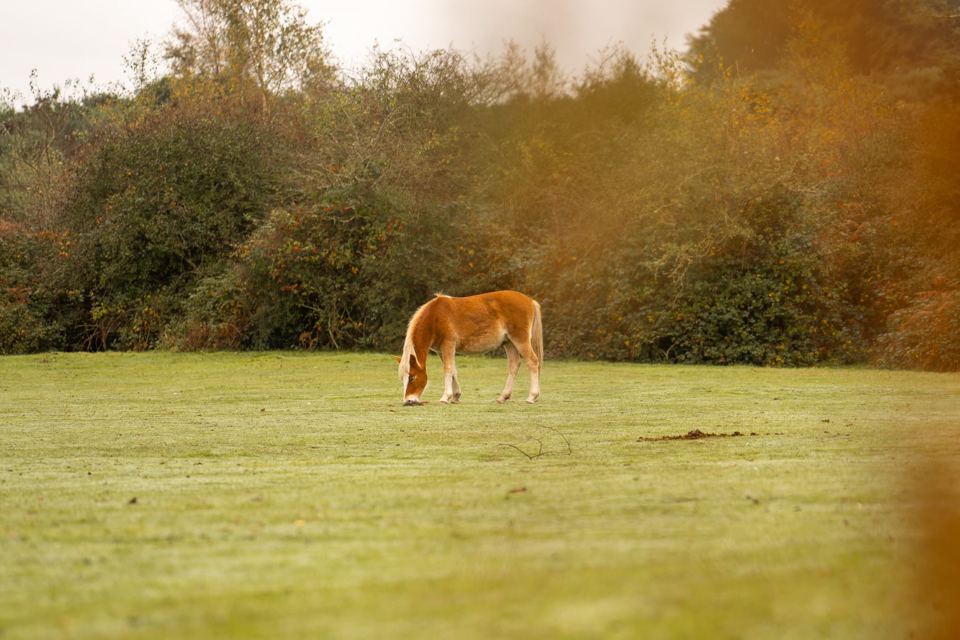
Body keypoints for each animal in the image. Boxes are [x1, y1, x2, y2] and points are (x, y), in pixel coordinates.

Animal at [396, 290, 542, 406]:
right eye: (402, 379)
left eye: (412, 377)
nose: (408, 401)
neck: (435, 316)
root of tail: (530, 301)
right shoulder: (442, 351)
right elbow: (453, 370)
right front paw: (455, 396)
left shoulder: (448, 345)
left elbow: (448, 369)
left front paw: (445, 397)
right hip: (509, 343)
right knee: (514, 365)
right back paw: (503, 397)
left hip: (520, 340)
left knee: (532, 362)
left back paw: (532, 397)